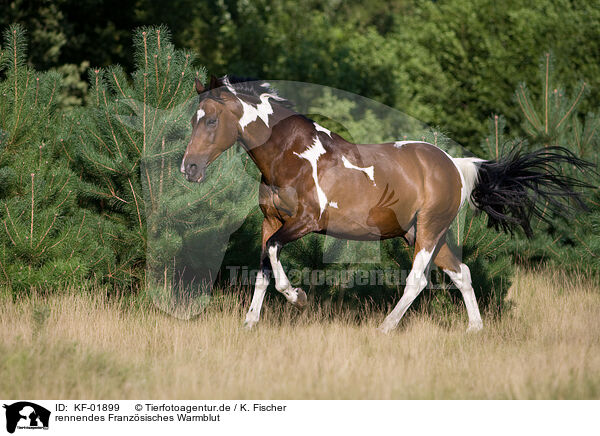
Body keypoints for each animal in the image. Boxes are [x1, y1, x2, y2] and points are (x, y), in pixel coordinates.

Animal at [182, 76, 592, 334]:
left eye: (212, 120)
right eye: (193, 119)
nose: (189, 168)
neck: (290, 155)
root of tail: (456, 166)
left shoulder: (306, 221)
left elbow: (272, 256)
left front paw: (298, 298)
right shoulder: (271, 220)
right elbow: (264, 267)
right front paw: (250, 322)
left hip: (428, 230)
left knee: (418, 279)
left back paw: (386, 327)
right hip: (421, 234)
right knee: (461, 273)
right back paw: (474, 329)